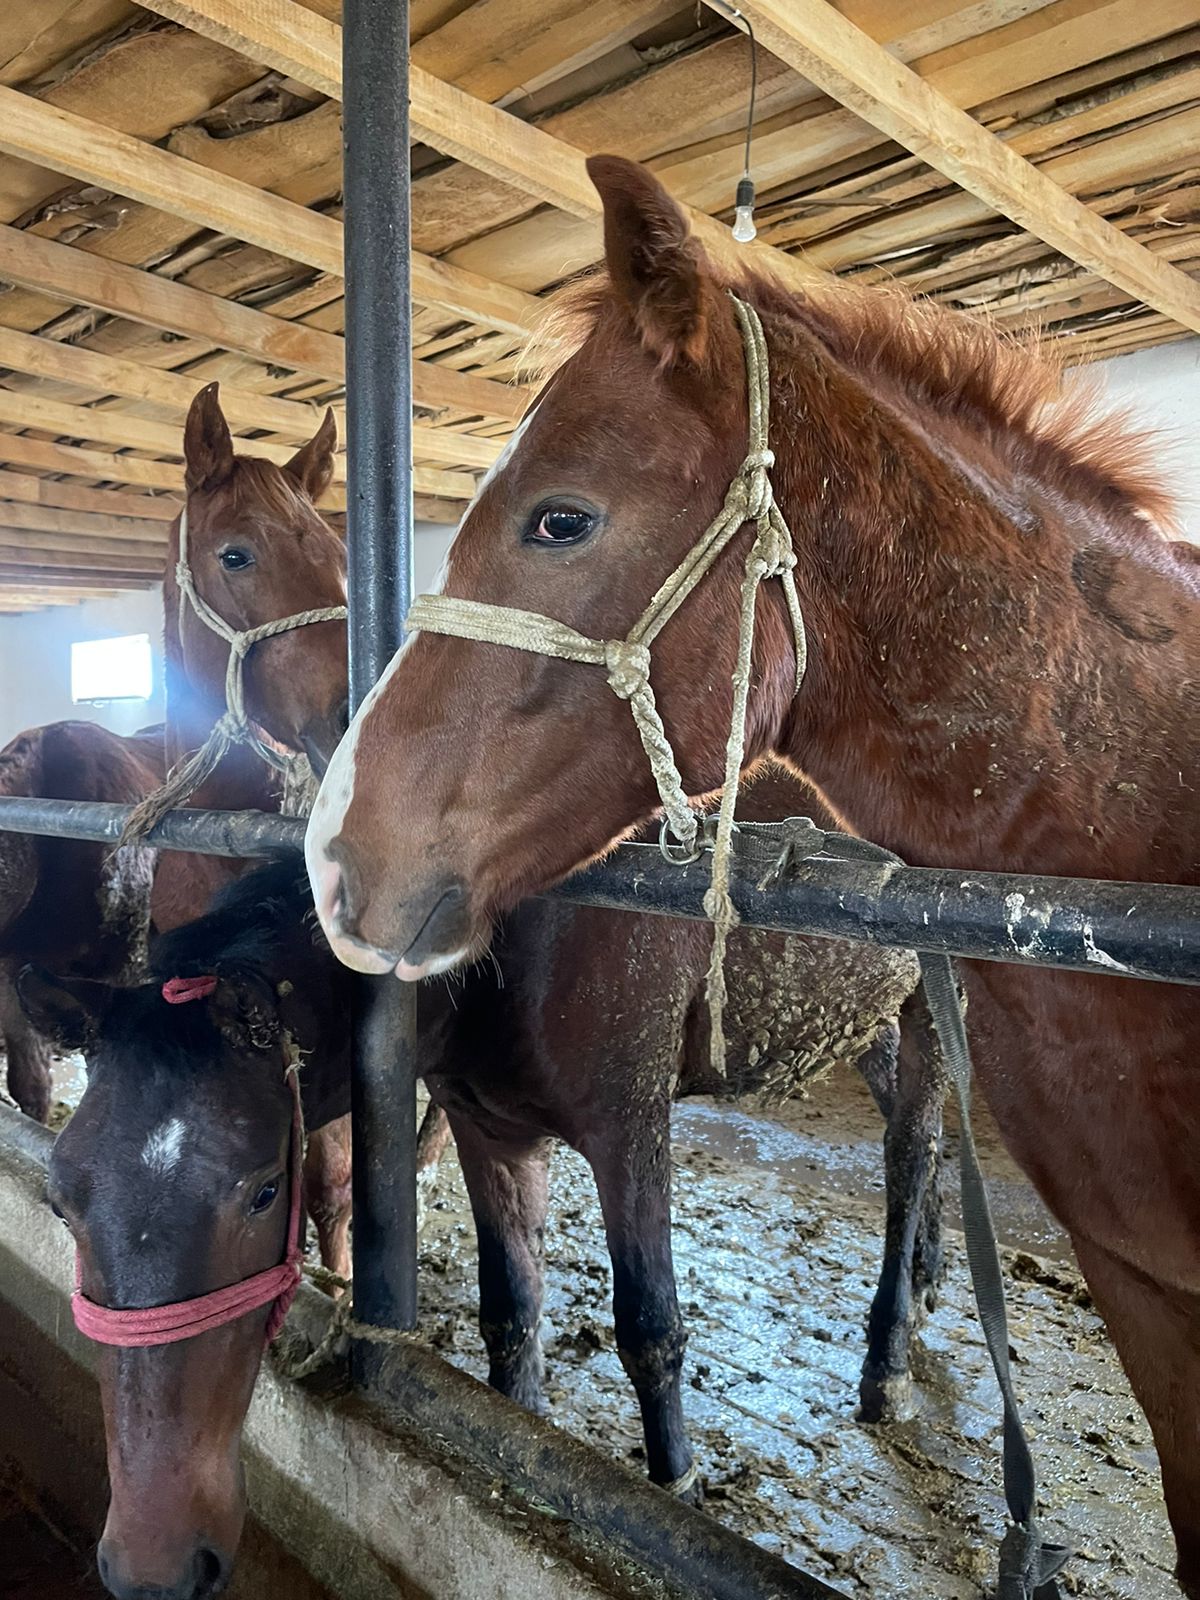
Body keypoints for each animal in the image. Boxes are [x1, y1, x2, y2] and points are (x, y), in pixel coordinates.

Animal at [307, 156, 1200, 1593]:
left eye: (561, 518)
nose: (338, 856)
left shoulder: (633, 1125)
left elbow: (650, 1330)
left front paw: (671, 1487)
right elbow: (513, 1325)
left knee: (909, 1158)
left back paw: (890, 1352)